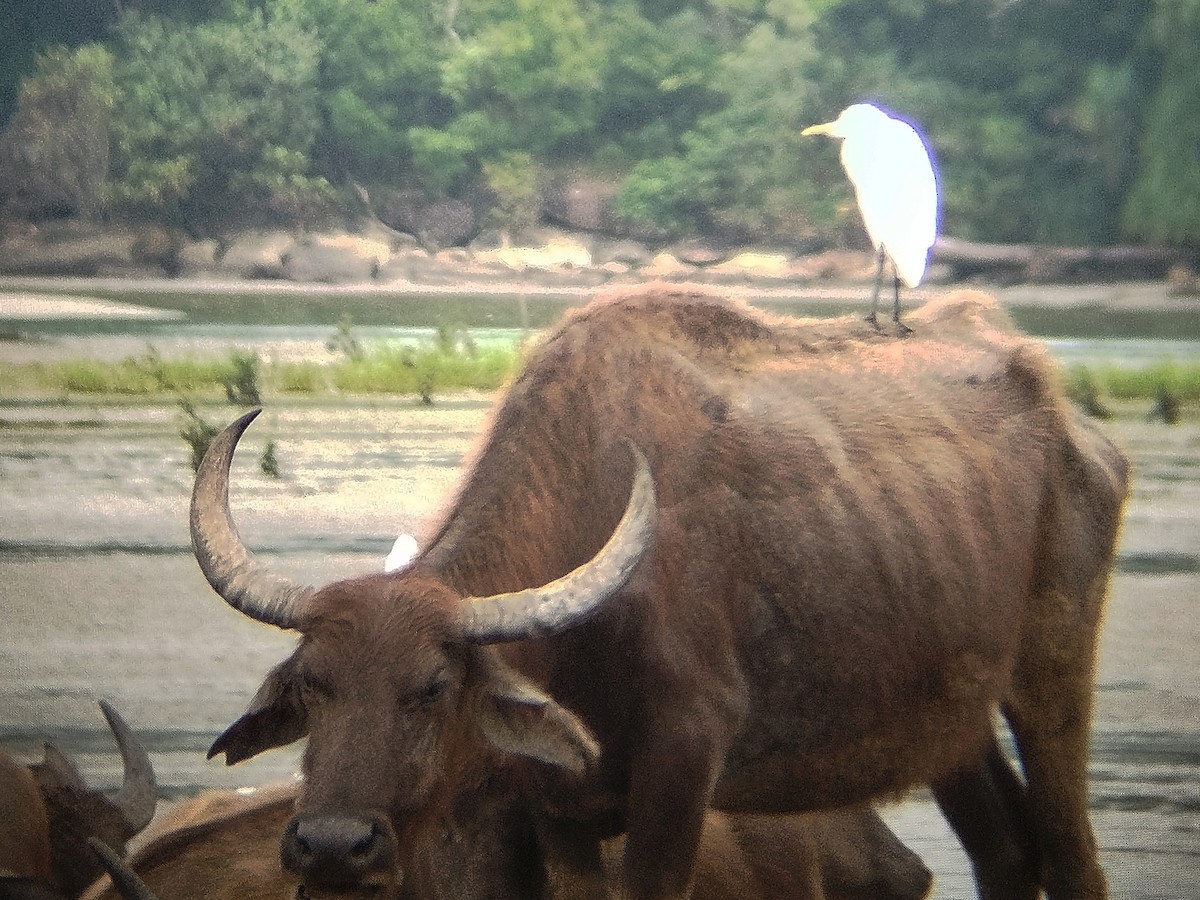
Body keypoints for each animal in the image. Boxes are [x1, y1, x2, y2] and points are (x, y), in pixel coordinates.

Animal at [190, 286, 1129, 900]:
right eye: (313, 686)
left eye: (430, 688)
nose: (331, 846)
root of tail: (1075, 426)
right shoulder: (557, 812)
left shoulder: (685, 762)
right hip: (944, 720)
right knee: (1007, 851)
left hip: (1051, 674)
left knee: (1071, 853)